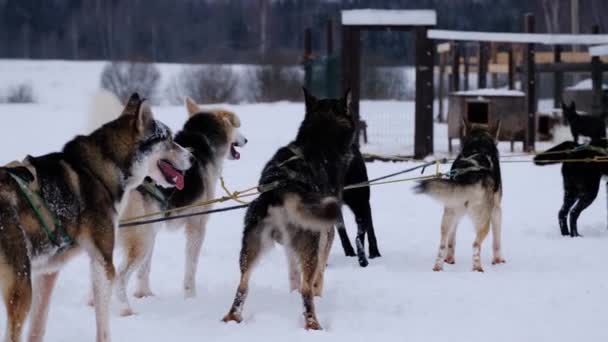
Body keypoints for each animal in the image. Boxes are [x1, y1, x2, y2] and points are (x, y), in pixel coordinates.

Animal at [0, 91, 190, 342]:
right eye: (167, 138)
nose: (192, 157)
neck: (102, 169)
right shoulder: (103, 263)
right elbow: (103, 325)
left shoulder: (48, 272)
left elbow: (38, 329)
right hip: (21, 287)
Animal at [114, 96, 247, 316]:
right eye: (236, 127)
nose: (246, 140)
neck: (202, 140)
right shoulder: (196, 226)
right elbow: (190, 268)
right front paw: (190, 297)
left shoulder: (154, 228)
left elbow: (145, 270)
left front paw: (144, 294)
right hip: (140, 240)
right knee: (119, 276)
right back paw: (125, 310)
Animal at [223, 89, 356, 330]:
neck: (319, 140)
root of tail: (281, 189)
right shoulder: (327, 230)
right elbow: (318, 275)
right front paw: (318, 291)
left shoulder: (290, 245)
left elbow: (293, 270)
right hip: (310, 240)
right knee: (306, 290)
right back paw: (313, 324)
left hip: (251, 247)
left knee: (243, 286)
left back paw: (233, 317)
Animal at [416, 120, 506, 272]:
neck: (479, 142)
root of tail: (469, 176)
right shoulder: (497, 210)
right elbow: (497, 241)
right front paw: (498, 260)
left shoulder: (455, 216)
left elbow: (451, 241)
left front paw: (450, 259)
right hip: (484, 222)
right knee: (476, 245)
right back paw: (477, 269)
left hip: (449, 215)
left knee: (443, 244)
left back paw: (438, 267)